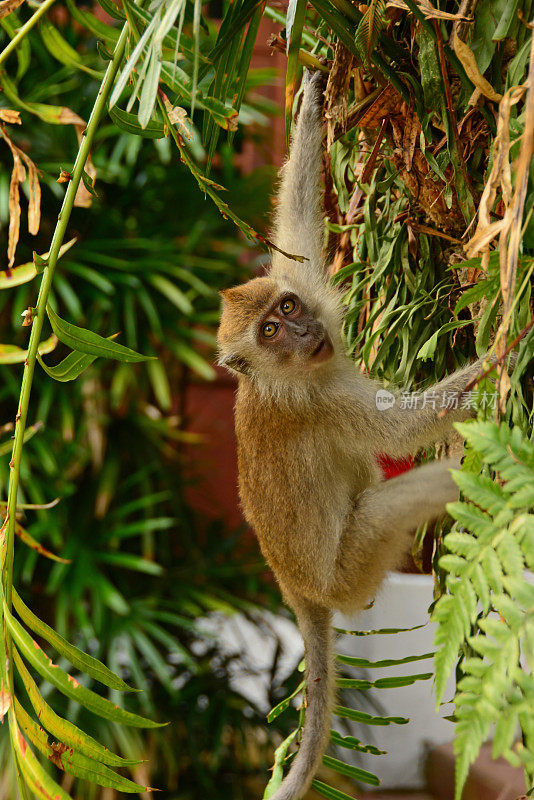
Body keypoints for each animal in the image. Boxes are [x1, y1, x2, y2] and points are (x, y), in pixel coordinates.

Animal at [218, 72, 502, 796]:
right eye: (270, 331)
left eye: (287, 307)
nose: (301, 330)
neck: (288, 373)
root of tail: (299, 594)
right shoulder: (323, 403)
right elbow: (400, 429)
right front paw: (510, 344)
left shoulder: (300, 287)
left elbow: (295, 230)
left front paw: (313, 99)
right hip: (351, 570)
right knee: (388, 503)